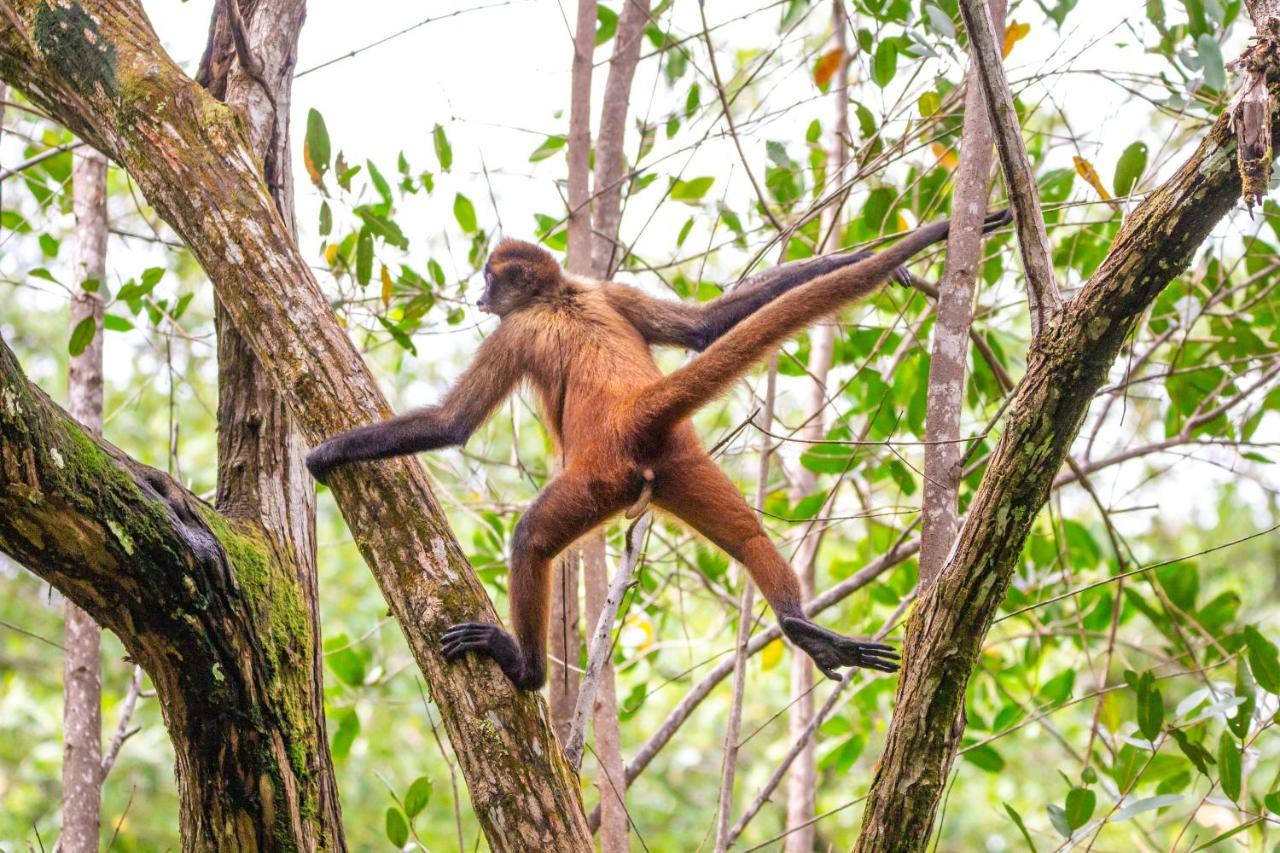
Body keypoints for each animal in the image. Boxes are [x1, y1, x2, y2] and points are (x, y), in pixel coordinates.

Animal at [307, 207, 1008, 691]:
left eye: (488, 280)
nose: (479, 296)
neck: (561, 296)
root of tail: (631, 413)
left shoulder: (518, 330)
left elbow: (451, 424)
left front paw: (327, 453)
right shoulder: (608, 287)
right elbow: (703, 324)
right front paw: (924, 246)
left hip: (598, 480)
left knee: (531, 537)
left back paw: (526, 670)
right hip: (679, 464)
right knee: (749, 537)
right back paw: (803, 629)